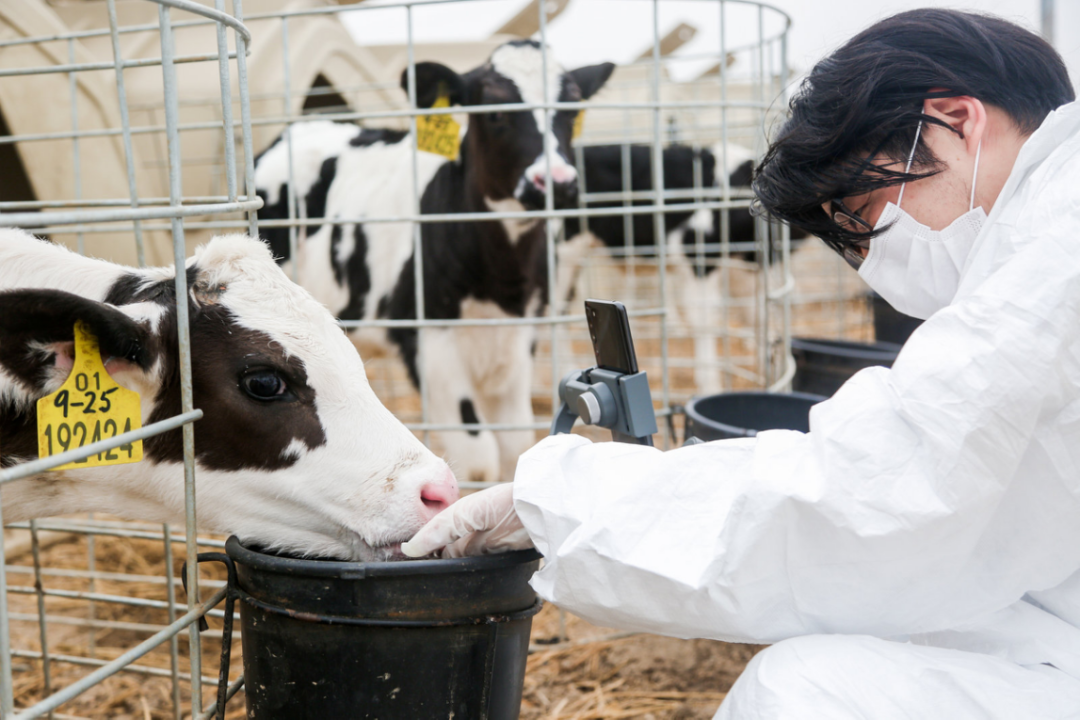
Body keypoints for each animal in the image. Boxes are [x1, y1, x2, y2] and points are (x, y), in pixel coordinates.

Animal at [247, 42, 613, 487]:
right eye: (494, 112)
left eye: (572, 110)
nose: (557, 182)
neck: (500, 279)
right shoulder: (429, 344)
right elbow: (478, 456)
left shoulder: (519, 338)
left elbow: (515, 443)